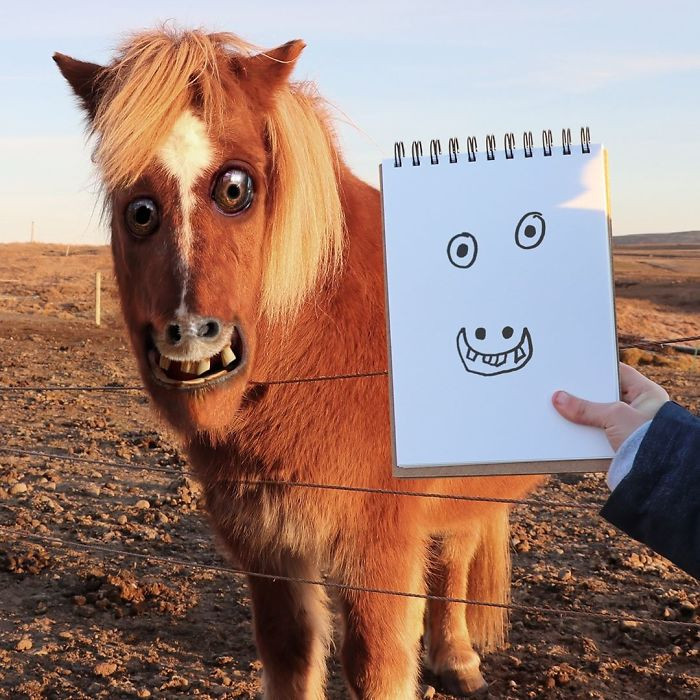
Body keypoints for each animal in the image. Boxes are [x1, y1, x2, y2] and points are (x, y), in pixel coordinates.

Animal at [54, 28, 543, 699]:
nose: (190, 335)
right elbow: (290, 652)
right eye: (138, 209)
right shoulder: (267, 543)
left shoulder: (379, 544)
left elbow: (376, 662)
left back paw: (457, 659)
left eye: (236, 189)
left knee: (457, 551)